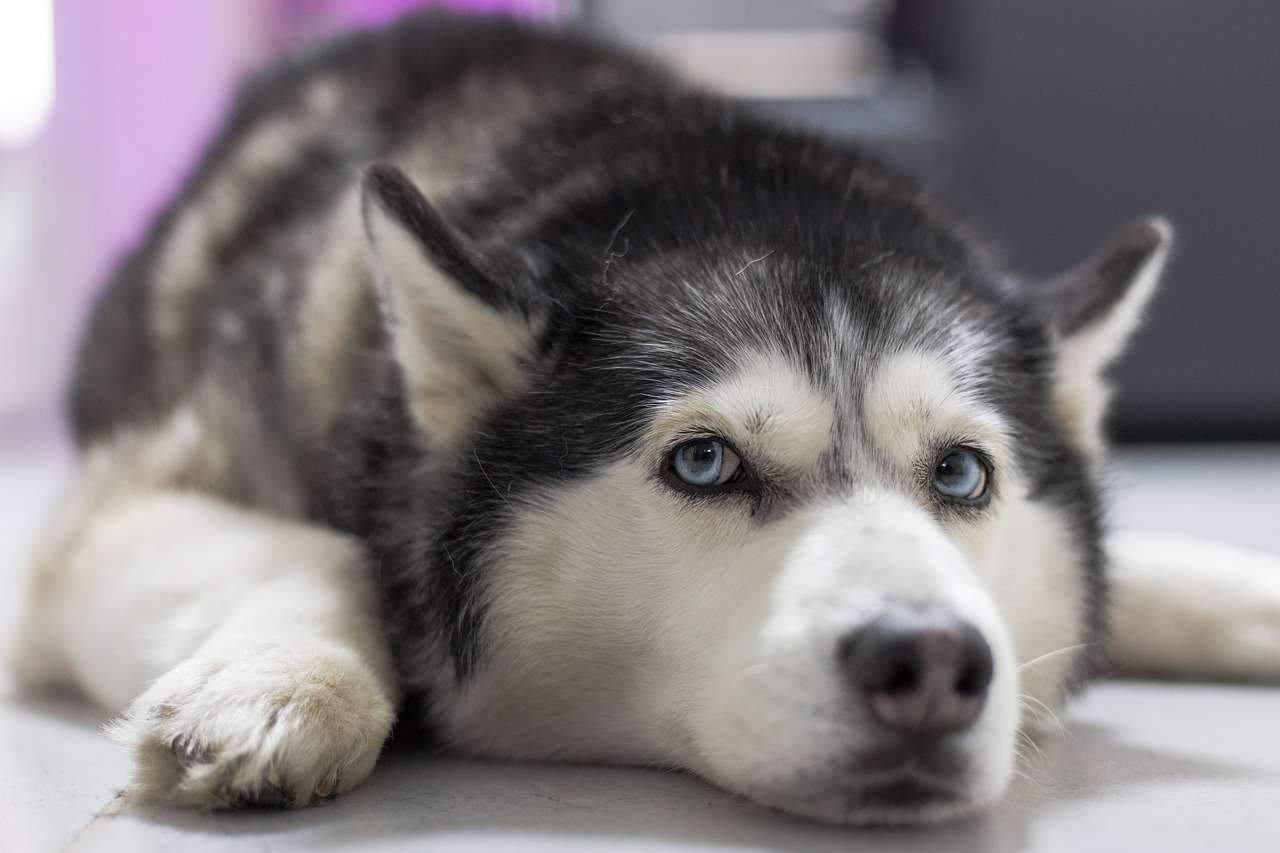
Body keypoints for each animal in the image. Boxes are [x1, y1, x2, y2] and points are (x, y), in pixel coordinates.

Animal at [10, 11, 1280, 824]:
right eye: (704, 462)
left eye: (962, 475)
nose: (928, 661)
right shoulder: (107, 516)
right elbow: (327, 551)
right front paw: (280, 685)